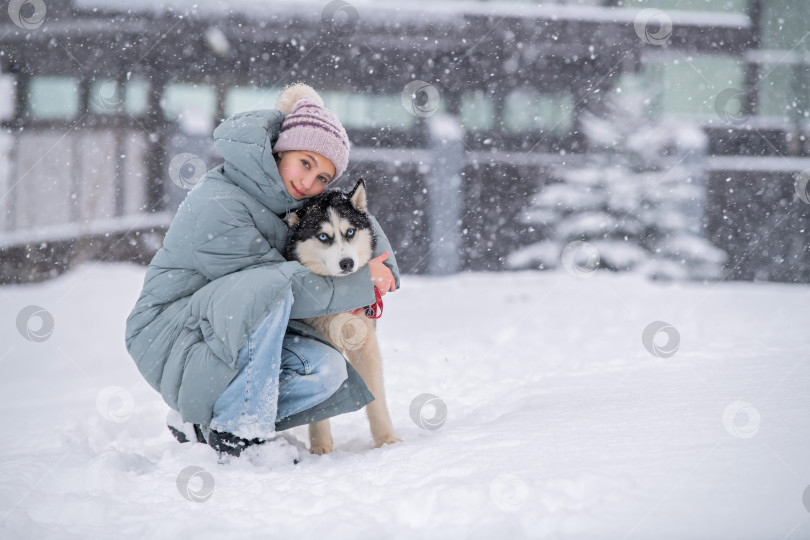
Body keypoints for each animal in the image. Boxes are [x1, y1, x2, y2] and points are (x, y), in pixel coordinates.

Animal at [284, 179, 400, 454]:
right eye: (323, 236)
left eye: (349, 232)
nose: (347, 263)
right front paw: (321, 449)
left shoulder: (365, 342)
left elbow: (376, 396)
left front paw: (387, 441)